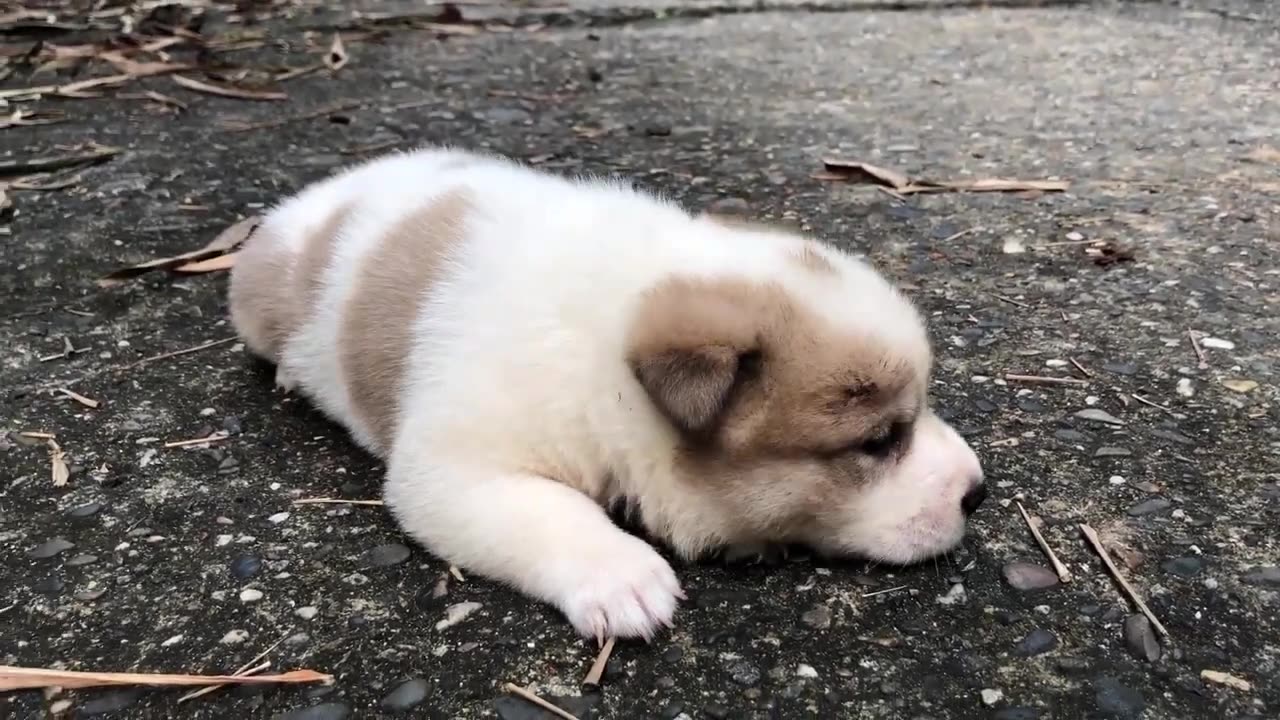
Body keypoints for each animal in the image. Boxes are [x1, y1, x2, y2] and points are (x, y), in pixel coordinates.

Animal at [227, 146, 988, 638]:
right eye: (877, 441)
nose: (978, 493)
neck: (606, 348)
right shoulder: (456, 468)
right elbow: (551, 509)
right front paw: (623, 574)